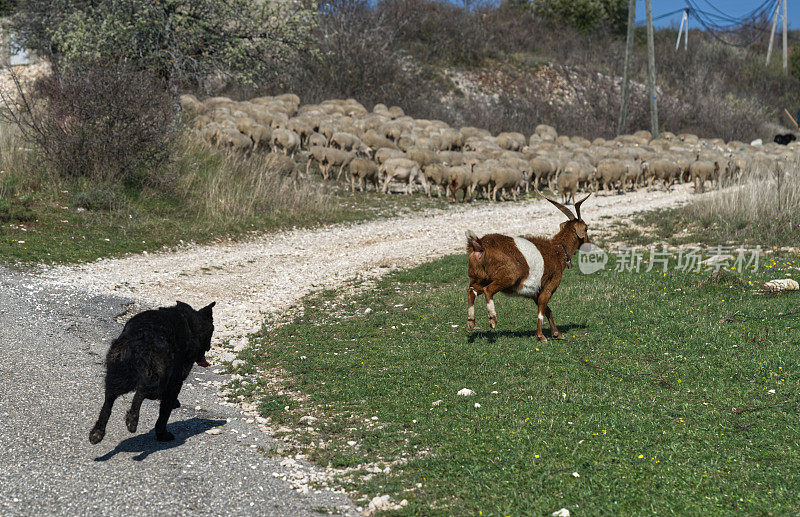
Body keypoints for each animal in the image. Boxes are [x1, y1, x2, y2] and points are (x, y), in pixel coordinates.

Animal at [90, 300, 216, 442]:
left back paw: (97, 432)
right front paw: (162, 433)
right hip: (156, 378)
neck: (192, 323)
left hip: (118, 376)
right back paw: (132, 420)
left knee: (108, 403)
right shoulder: (176, 381)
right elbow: (164, 412)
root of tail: (139, 337)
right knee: (140, 392)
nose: (209, 347)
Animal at [466, 187, 592, 340]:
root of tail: (479, 245)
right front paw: (541, 336)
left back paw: (470, 322)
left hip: (480, 276)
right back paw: (492, 319)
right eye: (586, 228)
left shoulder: (534, 290)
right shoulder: (550, 285)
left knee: (472, 290)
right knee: (488, 290)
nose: (588, 244)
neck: (558, 250)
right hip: (507, 277)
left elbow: (547, 309)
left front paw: (557, 334)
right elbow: (542, 308)